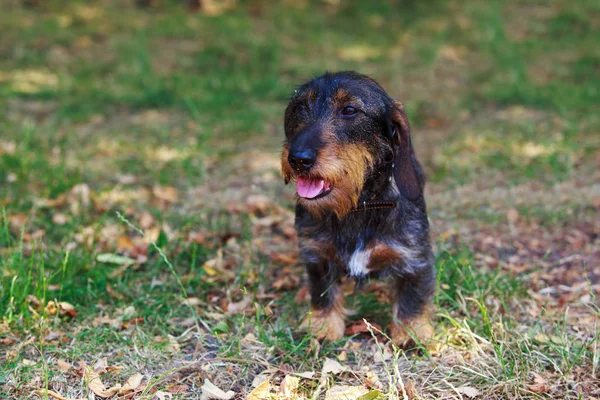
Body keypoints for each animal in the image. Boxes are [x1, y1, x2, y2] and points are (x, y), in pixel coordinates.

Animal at [282, 71, 436, 346]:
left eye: (350, 110)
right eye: (300, 106)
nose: (298, 159)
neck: (358, 207)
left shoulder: (414, 257)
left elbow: (413, 296)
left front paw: (412, 332)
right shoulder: (316, 255)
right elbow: (323, 292)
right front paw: (324, 326)